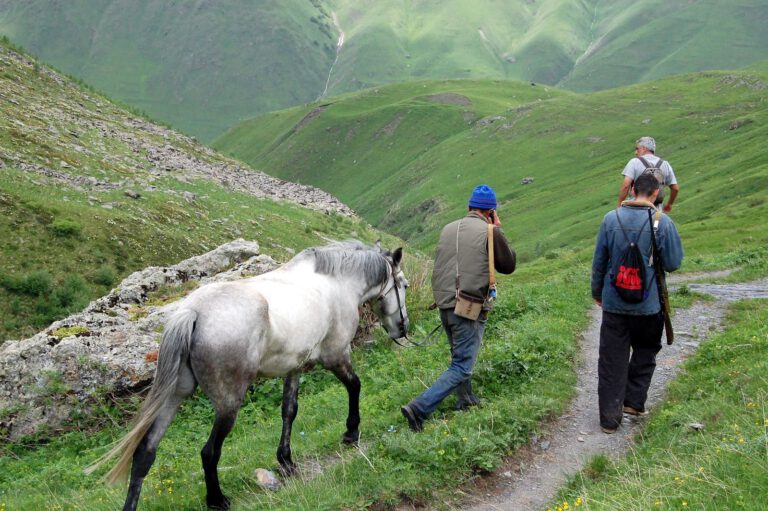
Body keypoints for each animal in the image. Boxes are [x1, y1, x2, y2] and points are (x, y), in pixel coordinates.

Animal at [86, 240, 409, 511]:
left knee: (145, 452)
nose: (402, 329)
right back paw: (217, 500)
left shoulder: (294, 368)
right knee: (209, 452)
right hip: (228, 404)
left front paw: (286, 462)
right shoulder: (336, 356)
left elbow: (289, 411)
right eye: (403, 285)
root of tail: (193, 313)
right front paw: (351, 433)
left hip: (175, 396)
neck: (336, 282)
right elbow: (355, 386)